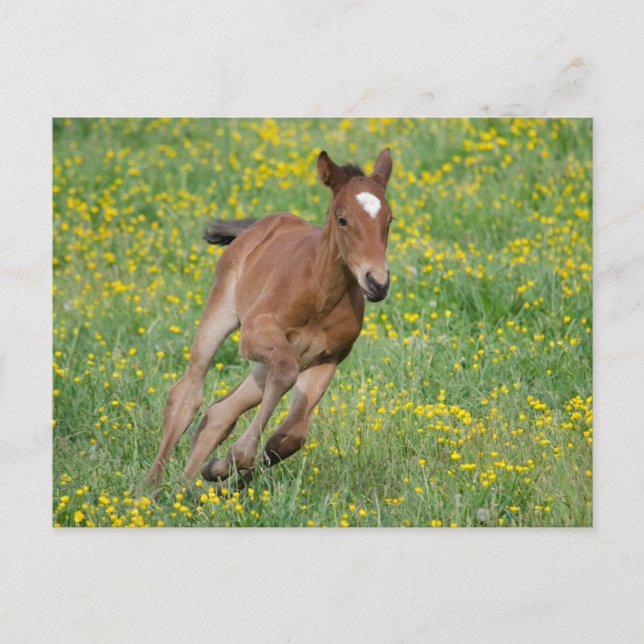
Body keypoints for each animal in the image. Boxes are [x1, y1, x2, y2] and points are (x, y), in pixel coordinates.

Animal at [144, 148, 393, 489]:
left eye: (389, 220)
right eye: (342, 219)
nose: (377, 282)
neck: (321, 292)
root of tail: (258, 226)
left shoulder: (328, 357)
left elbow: (291, 436)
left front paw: (224, 468)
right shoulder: (254, 331)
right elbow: (285, 375)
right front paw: (233, 462)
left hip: (271, 361)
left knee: (220, 411)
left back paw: (187, 488)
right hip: (222, 313)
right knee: (186, 394)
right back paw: (148, 492)